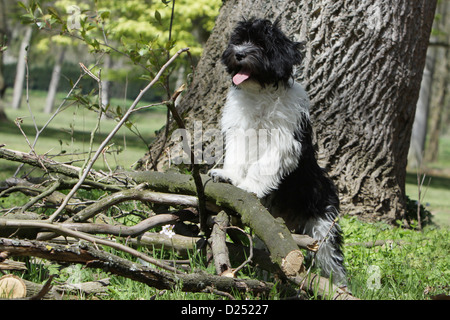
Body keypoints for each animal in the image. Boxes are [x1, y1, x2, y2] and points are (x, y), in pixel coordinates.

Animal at [210, 18, 348, 286]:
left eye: (262, 45)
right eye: (239, 40)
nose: (239, 54)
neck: (260, 91)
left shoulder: (283, 141)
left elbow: (262, 166)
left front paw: (249, 187)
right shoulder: (240, 131)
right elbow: (237, 157)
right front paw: (229, 177)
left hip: (322, 225)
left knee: (332, 259)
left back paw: (340, 287)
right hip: (270, 227)